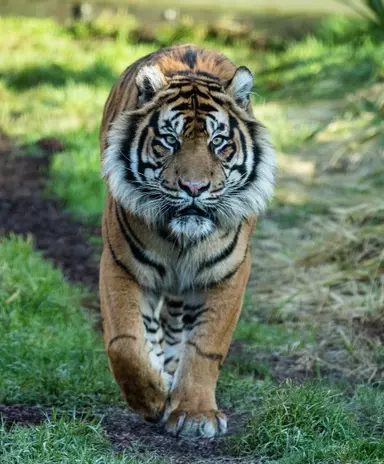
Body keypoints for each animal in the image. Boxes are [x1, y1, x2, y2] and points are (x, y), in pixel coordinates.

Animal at [99, 43, 276, 438]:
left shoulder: (228, 273)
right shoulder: (120, 264)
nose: (194, 188)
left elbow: (205, 346)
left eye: (218, 142)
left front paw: (195, 413)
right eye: (170, 141)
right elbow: (125, 344)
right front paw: (152, 399)